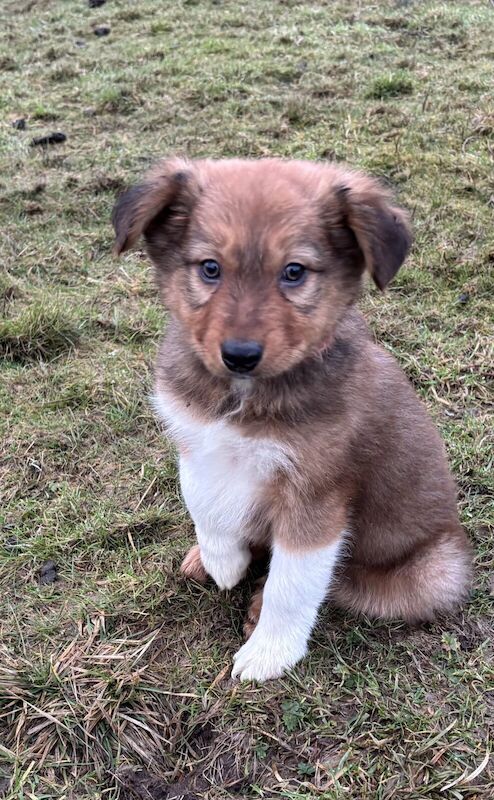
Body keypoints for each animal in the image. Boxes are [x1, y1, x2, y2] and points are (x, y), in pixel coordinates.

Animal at [111, 158, 470, 680]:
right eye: (210, 268)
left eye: (294, 272)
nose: (240, 355)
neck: (242, 396)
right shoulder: (196, 440)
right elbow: (204, 504)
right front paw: (223, 560)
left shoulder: (316, 496)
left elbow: (293, 582)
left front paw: (269, 651)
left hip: (432, 571)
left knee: (339, 581)